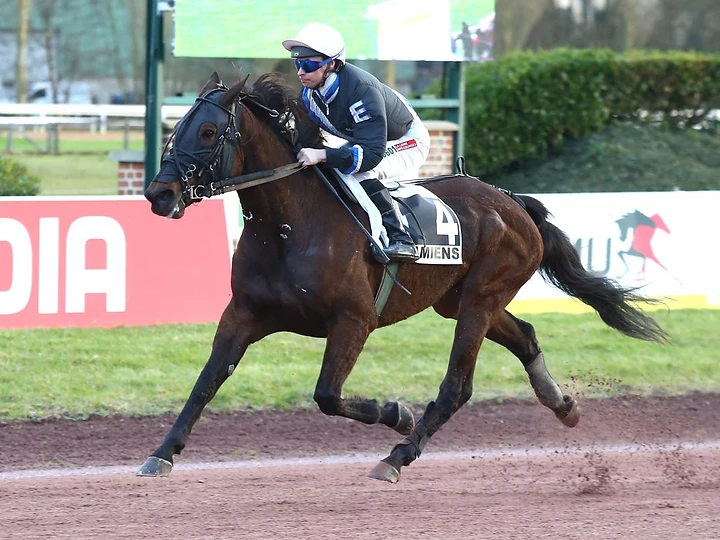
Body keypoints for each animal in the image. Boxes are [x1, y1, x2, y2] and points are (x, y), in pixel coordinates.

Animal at [140, 72, 667, 483]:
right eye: (177, 128)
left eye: (208, 132)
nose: (158, 194)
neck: (289, 227)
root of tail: (513, 201)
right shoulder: (244, 313)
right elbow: (206, 382)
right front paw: (162, 454)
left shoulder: (353, 321)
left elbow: (327, 395)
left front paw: (396, 413)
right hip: (460, 300)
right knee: (526, 336)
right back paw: (562, 404)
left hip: (481, 297)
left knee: (457, 386)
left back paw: (398, 455)